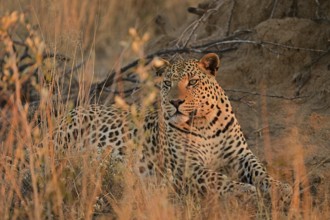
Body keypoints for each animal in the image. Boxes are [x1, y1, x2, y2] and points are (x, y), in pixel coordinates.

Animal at [53, 52, 292, 206]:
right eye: (167, 83)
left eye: (192, 82)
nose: (175, 102)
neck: (205, 123)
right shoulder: (188, 167)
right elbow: (219, 179)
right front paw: (247, 191)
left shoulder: (241, 155)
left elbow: (260, 170)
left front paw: (281, 188)